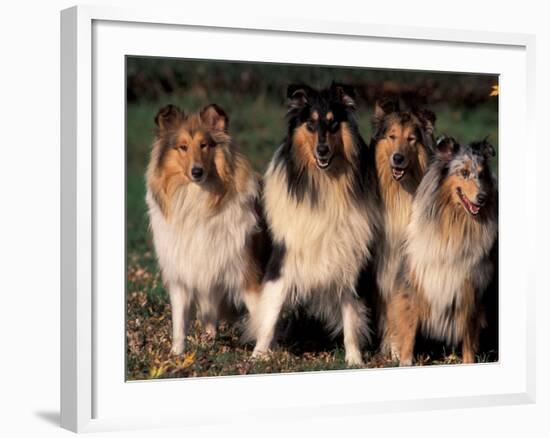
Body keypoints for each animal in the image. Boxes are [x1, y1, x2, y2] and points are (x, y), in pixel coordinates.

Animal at [146, 103, 266, 356]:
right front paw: (177, 354)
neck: (197, 201)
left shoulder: (247, 272)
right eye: (182, 147)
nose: (197, 172)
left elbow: (262, 316)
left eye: (205, 145)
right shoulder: (184, 273)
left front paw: (262, 354)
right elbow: (180, 321)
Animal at [249, 84, 382, 364]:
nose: (323, 151)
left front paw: (354, 360)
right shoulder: (283, 259)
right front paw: (258, 355)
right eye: (310, 125)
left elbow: (351, 317)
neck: (322, 184)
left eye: (332, 124)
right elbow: (271, 312)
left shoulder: (348, 258)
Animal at [374, 98, 438, 352]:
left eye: (411, 139)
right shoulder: (385, 261)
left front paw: (396, 347)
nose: (398, 158)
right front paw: (391, 347)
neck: (401, 191)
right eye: (392, 136)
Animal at [388, 137, 500, 366]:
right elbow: (409, 330)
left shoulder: (471, 290)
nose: (482, 198)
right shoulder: (414, 283)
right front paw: (405, 362)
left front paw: (469, 363)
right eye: (464, 172)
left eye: (482, 174)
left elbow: (469, 338)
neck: (454, 223)